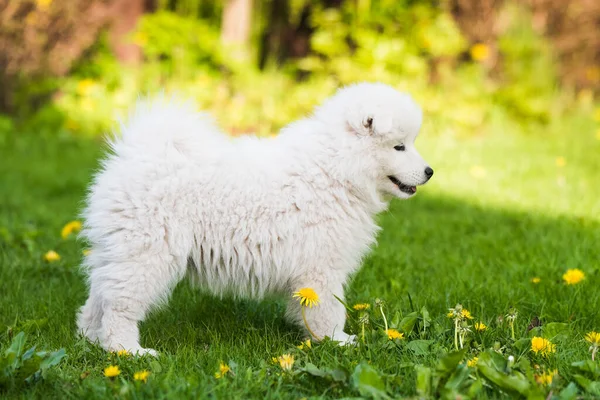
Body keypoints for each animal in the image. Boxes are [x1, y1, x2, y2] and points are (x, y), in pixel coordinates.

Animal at [76, 82, 432, 356]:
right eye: (399, 147)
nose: (430, 171)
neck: (335, 169)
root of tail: (135, 155)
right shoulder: (321, 268)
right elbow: (329, 310)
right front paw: (338, 343)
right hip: (147, 255)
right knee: (120, 306)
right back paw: (127, 351)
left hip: (117, 251)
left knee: (98, 296)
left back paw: (90, 339)